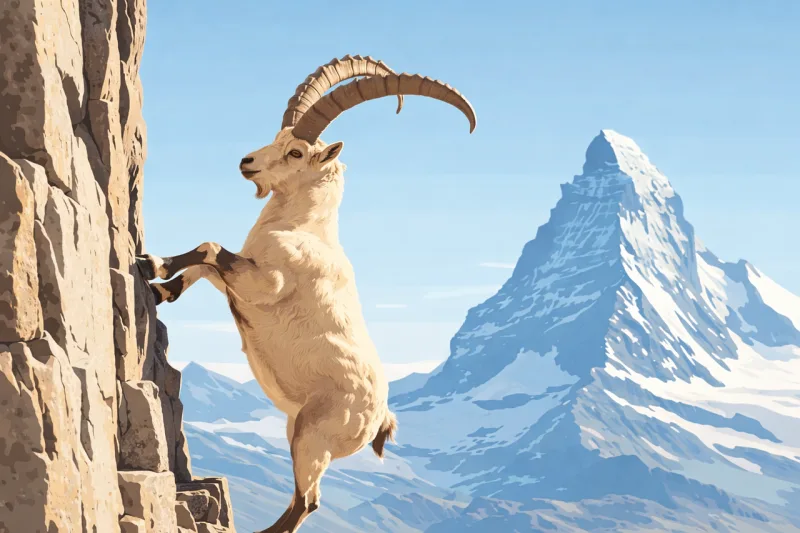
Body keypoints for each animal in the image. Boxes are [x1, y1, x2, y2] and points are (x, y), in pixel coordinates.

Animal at [137, 55, 476, 533]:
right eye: (279, 139)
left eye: (296, 152)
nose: (246, 162)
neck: (302, 229)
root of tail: (380, 419)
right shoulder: (241, 278)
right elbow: (206, 264)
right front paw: (161, 282)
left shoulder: (266, 283)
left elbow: (210, 248)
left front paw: (153, 267)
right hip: (297, 430)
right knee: (305, 500)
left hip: (312, 439)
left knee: (307, 502)